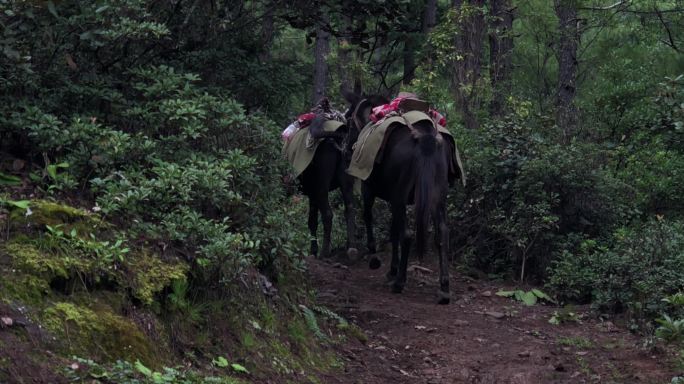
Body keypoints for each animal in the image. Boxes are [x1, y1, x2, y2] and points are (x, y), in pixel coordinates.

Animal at [344, 92, 452, 304]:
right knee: (442, 233)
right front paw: (392, 270)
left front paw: (376, 260)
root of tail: (424, 137)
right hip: (437, 198)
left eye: (349, 120)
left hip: (401, 197)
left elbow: (369, 218)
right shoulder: (393, 199)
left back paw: (400, 282)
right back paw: (443, 287)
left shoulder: (371, 190)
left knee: (408, 235)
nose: (345, 148)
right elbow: (393, 231)